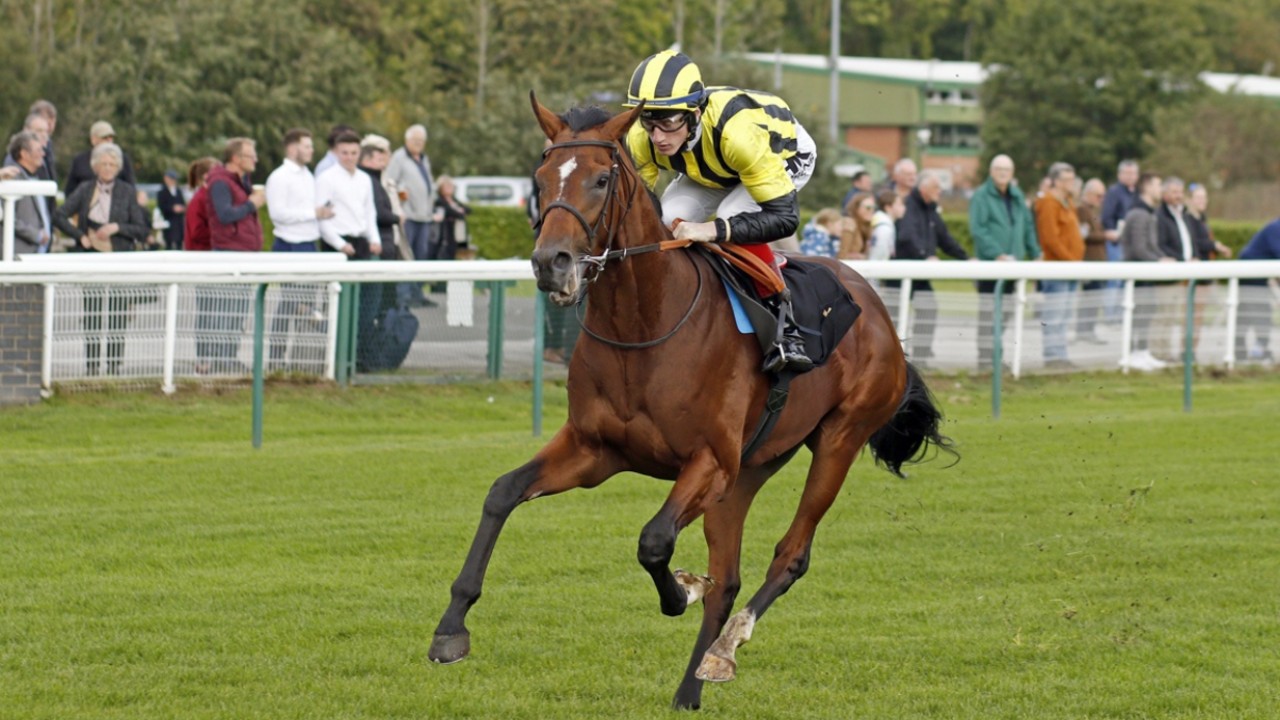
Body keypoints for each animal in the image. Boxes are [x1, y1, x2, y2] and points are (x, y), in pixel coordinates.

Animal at [430, 94, 952, 707]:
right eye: (539, 180)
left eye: (602, 179)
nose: (550, 262)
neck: (645, 325)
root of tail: (878, 310)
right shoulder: (596, 450)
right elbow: (502, 493)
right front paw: (450, 629)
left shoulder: (707, 462)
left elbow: (654, 542)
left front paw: (679, 592)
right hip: (749, 469)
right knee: (729, 578)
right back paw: (692, 685)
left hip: (837, 441)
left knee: (790, 555)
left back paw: (725, 648)